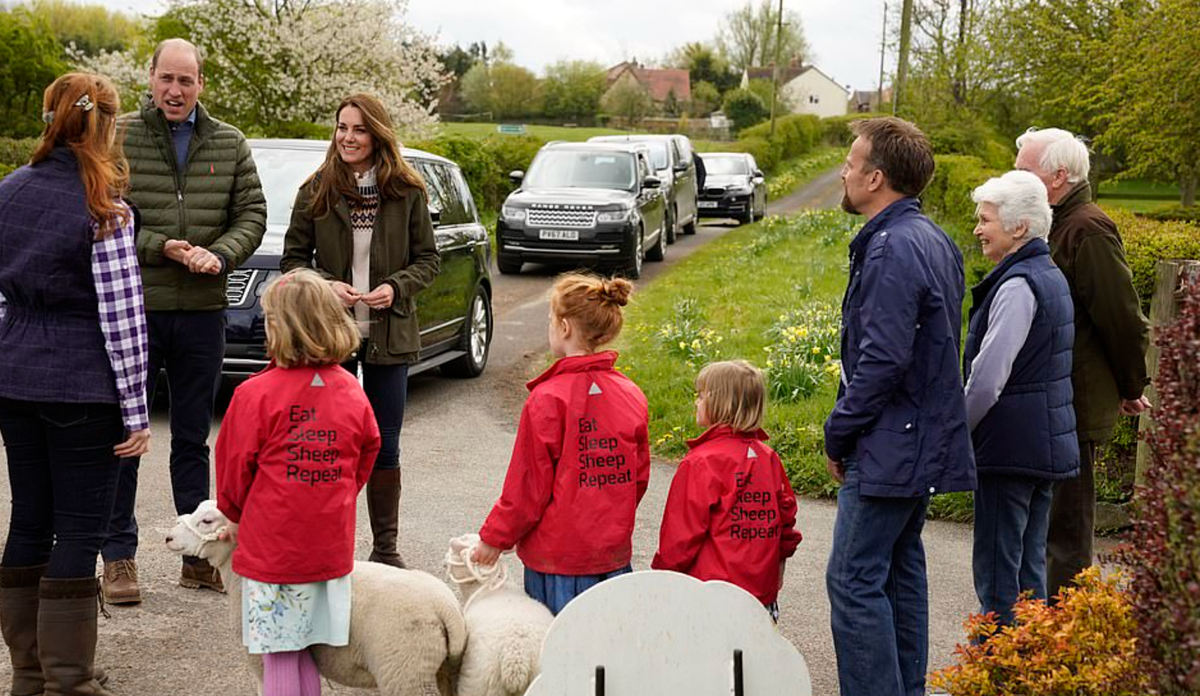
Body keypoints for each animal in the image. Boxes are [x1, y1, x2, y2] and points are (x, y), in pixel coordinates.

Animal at [166, 499, 465, 696]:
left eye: (207, 521)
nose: (168, 537)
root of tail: (446, 609)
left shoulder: (259, 657)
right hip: (443, 671)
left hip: (404, 672)